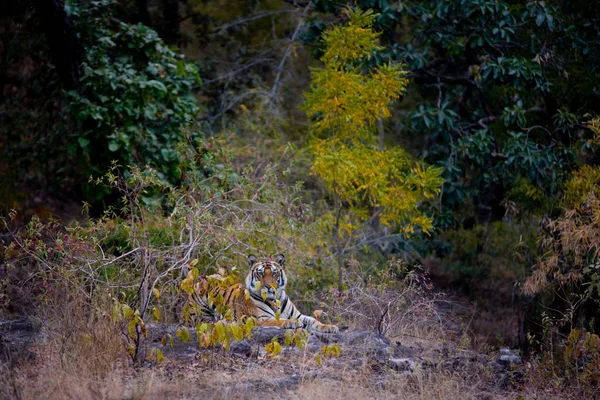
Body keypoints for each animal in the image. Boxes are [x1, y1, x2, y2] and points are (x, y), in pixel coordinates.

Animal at [183, 253, 338, 334]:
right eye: (260, 273)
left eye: (274, 273)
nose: (269, 286)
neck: (275, 299)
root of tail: (200, 279)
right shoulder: (261, 318)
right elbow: (279, 320)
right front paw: (292, 323)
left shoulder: (298, 314)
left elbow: (313, 320)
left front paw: (330, 327)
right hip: (198, 314)